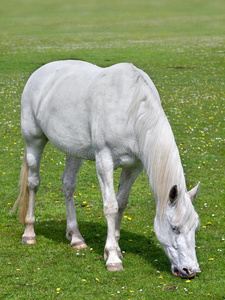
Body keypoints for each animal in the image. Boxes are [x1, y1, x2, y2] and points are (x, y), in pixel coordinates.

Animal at [12, 60, 200, 278]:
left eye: (195, 226)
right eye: (174, 228)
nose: (191, 270)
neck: (132, 108)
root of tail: (40, 73)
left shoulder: (134, 166)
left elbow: (122, 203)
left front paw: (116, 248)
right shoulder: (104, 160)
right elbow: (111, 206)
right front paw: (112, 258)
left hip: (73, 152)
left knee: (68, 185)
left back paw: (76, 237)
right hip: (34, 141)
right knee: (33, 183)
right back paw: (29, 232)